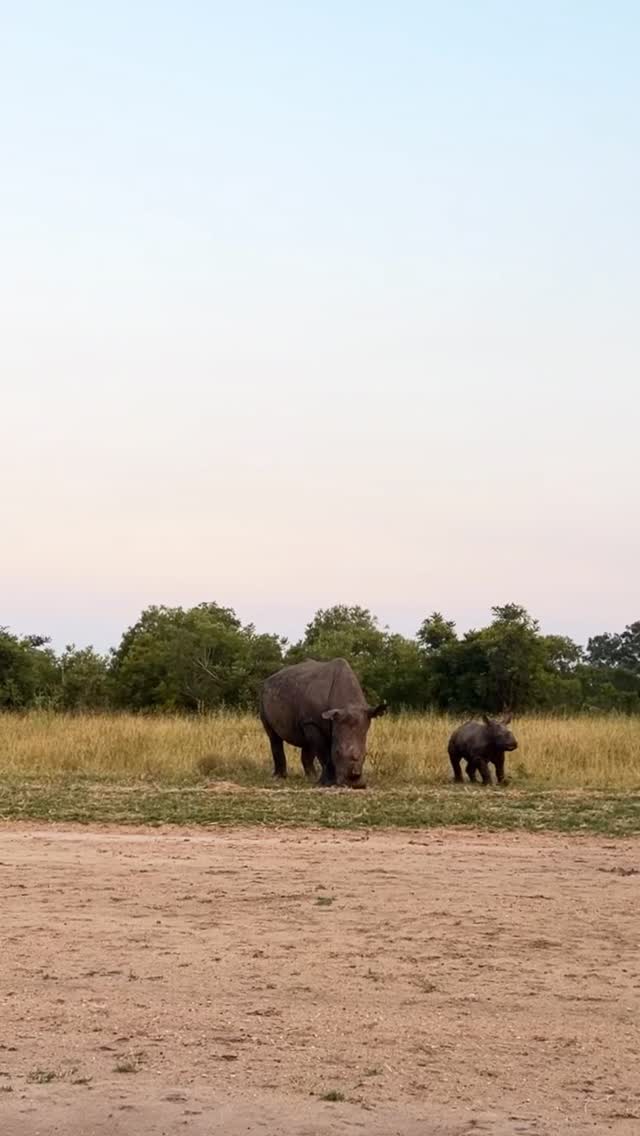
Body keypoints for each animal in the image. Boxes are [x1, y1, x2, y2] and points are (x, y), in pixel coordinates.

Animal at [259, 658, 387, 788]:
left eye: (366, 754)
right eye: (337, 752)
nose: (354, 784)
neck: (347, 703)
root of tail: (269, 679)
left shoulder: (317, 721)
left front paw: (325, 781)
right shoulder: (313, 722)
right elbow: (324, 754)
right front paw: (328, 783)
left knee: (307, 743)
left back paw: (311, 777)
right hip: (264, 697)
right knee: (274, 737)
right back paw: (279, 777)